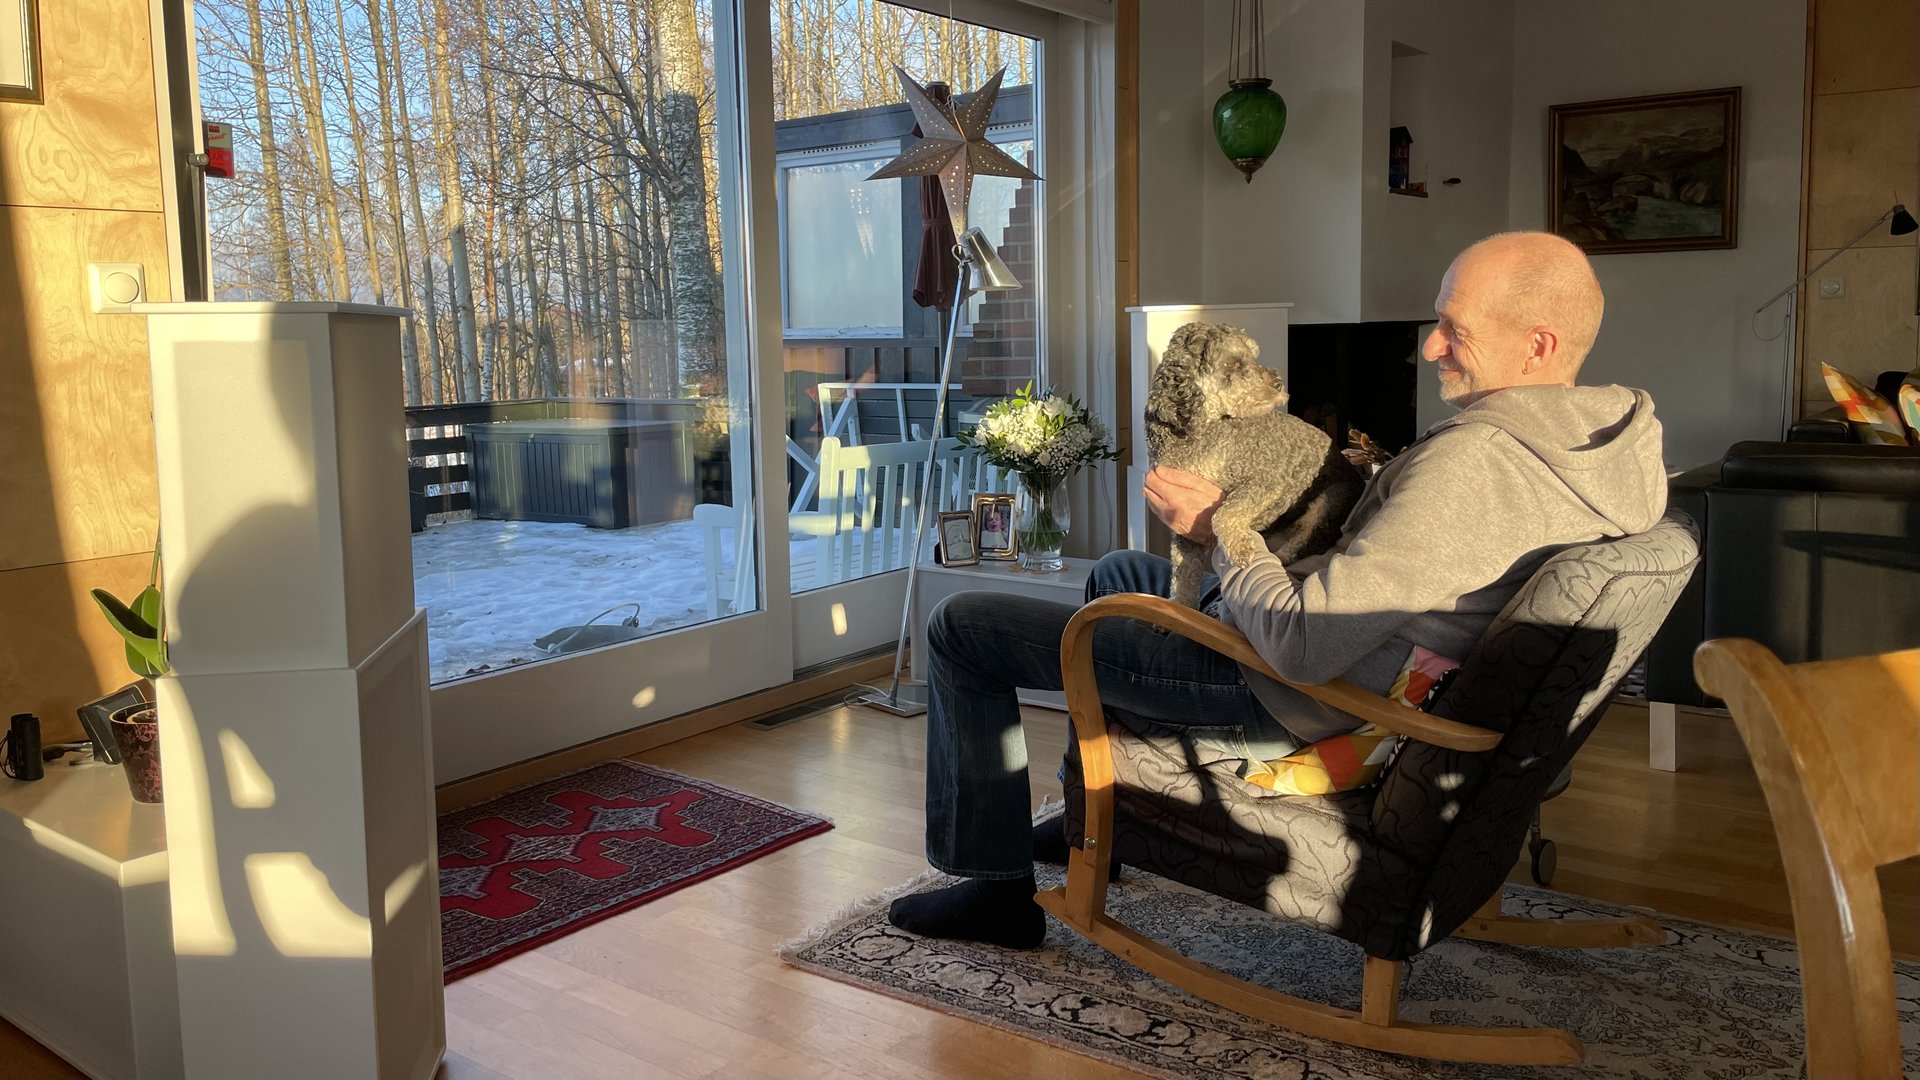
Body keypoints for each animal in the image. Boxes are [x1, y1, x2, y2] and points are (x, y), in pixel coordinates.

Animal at [1145, 321, 1362, 607]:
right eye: (1233, 363)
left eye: (1254, 355)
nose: (1279, 383)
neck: (1200, 434)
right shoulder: (1183, 532)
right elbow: (1184, 575)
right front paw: (1179, 606)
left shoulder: (1266, 480)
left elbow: (1223, 512)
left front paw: (1239, 546)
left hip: (1329, 503)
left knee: (1301, 547)